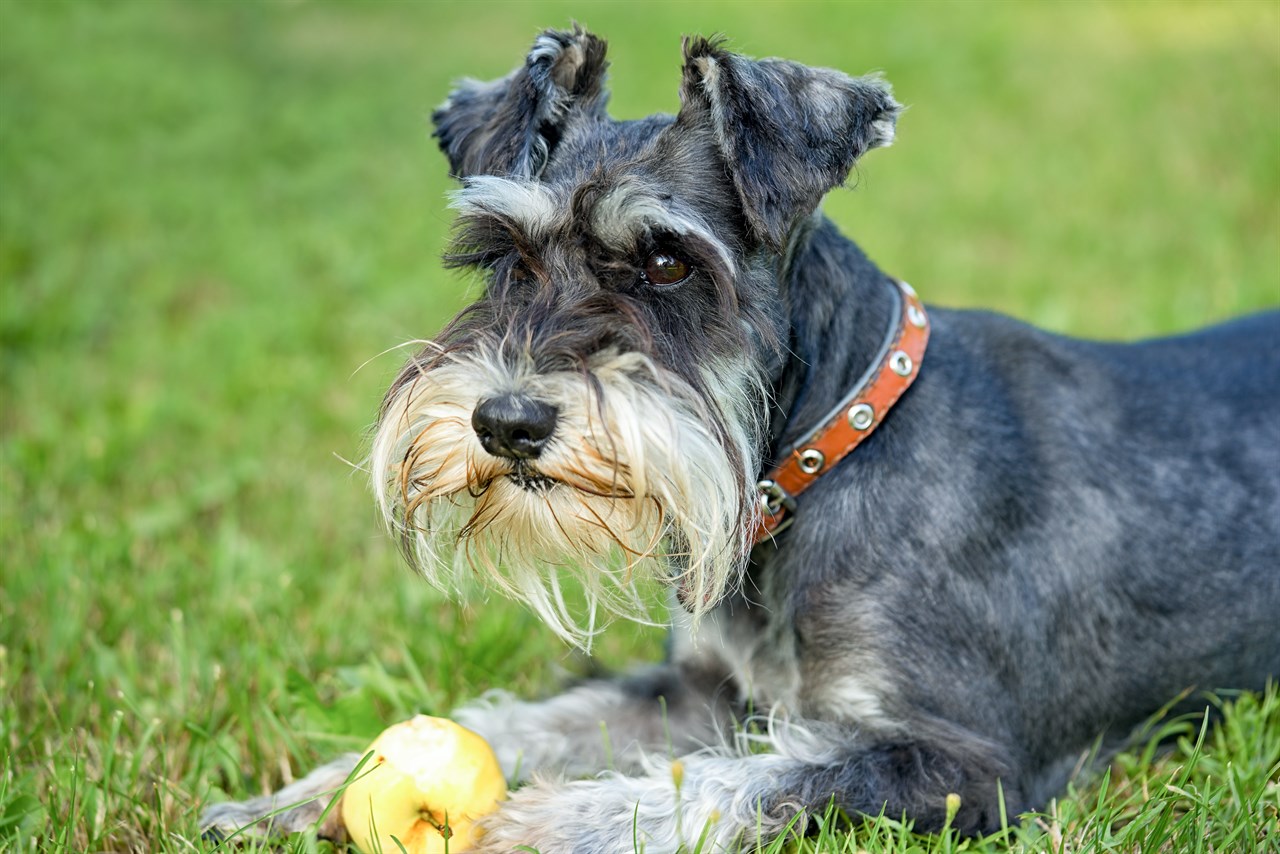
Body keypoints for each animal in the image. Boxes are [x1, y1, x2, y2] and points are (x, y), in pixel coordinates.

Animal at [199, 23, 1280, 850]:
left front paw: (551, 821)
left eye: (667, 261)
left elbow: (742, 781)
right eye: (504, 254)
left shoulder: (960, 760)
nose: (507, 421)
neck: (825, 453)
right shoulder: (697, 692)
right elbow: (530, 721)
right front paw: (313, 791)